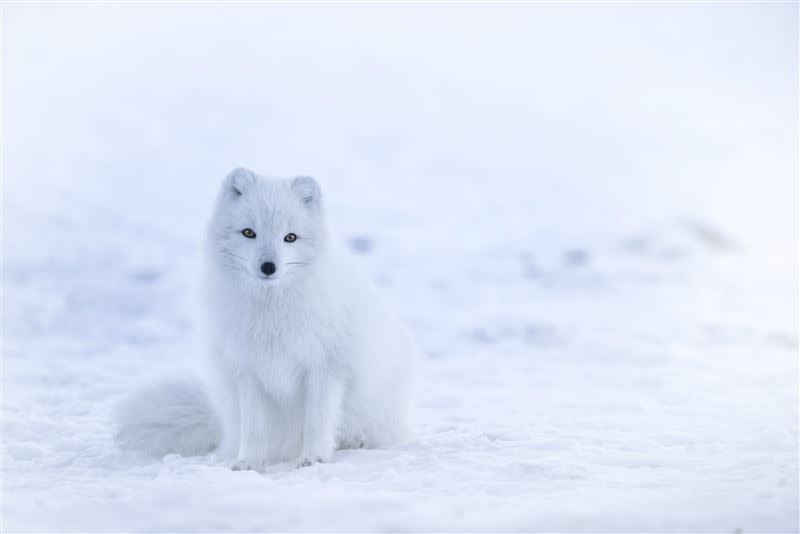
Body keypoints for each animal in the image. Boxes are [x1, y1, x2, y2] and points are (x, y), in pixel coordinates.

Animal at [120, 170, 418, 472]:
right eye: (249, 232)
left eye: (290, 237)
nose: (268, 267)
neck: (271, 311)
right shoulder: (248, 370)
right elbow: (254, 428)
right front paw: (248, 463)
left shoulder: (324, 367)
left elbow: (317, 421)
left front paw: (313, 458)